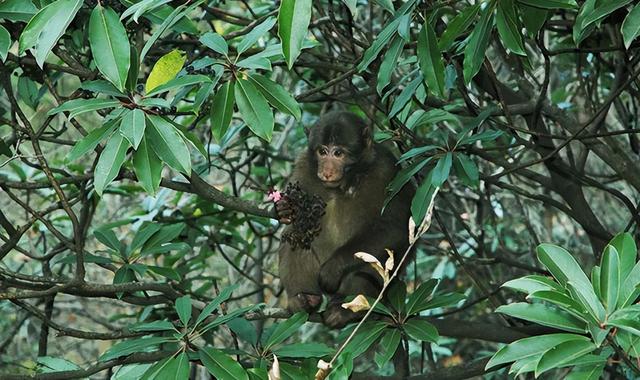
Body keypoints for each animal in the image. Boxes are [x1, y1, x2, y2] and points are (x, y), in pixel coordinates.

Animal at [276, 111, 416, 328]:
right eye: (322, 152)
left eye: (339, 153)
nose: (326, 171)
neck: (344, 182)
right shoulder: (304, 164)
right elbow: (294, 222)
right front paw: (284, 208)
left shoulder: (388, 171)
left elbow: (395, 227)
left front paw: (333, 269)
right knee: (295, 235)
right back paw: (304, 298)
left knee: (375, 257)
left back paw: (348, 311)